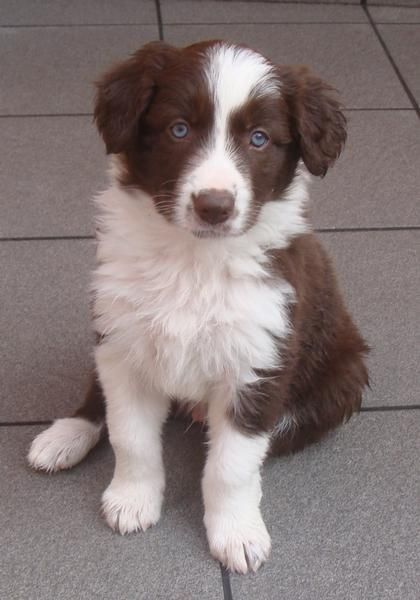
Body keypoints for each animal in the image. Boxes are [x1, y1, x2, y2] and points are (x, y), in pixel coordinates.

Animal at [28, 39, 368, 576]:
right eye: (179, 129)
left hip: (342, 377)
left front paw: (237, 534)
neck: (193, 261)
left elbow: (232, 465)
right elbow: (131, 436)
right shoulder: (123, 346)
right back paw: (65, 436)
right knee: (96, 395)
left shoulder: (260, 363)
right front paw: (132, 500)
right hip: (108, 329)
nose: (214, 206)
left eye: (258, 139)